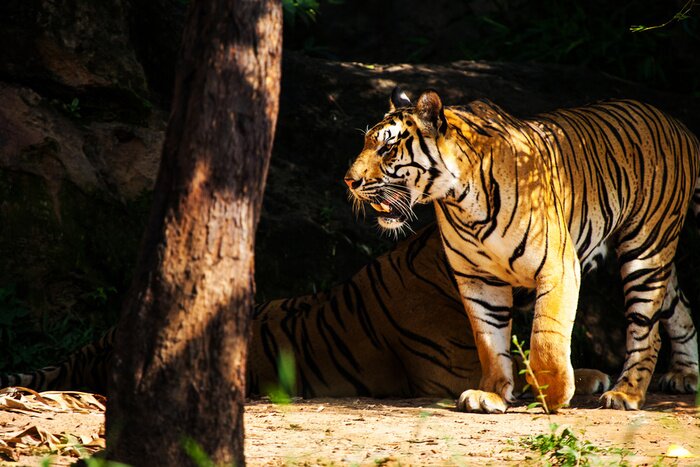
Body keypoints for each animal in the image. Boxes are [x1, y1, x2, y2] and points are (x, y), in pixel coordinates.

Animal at [344, 87, 700, 412]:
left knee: (647, 330)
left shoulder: (558, 266)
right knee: (678, 308)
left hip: (645, 248)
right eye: (366, 144)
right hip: (657, 255)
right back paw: (685, 375)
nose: (349, 181)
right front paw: (490, 394)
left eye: (387, 148)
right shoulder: (477, 279)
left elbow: (546, 338)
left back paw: (626, 393)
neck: (459, 201)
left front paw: (554, 395)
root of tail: (677, 123)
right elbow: (489, 340)